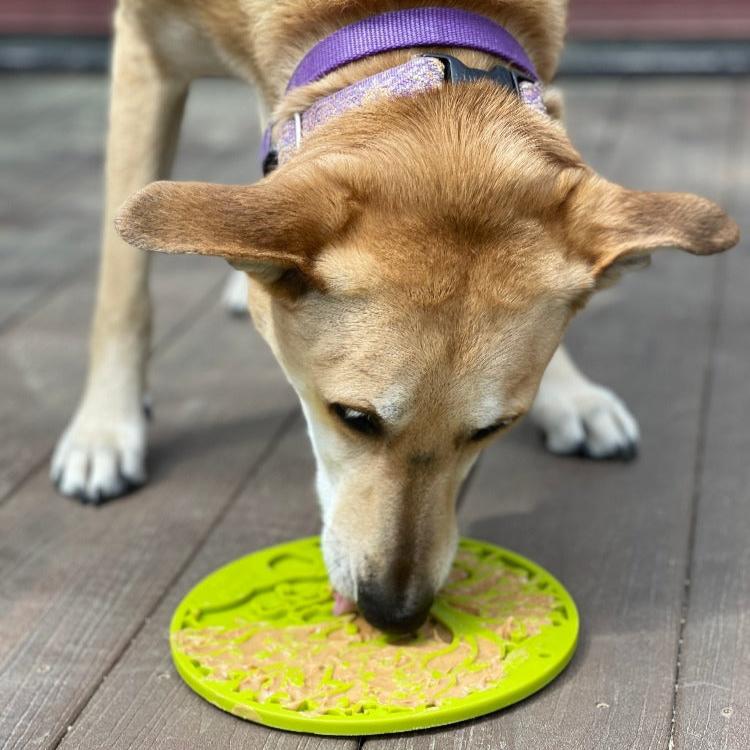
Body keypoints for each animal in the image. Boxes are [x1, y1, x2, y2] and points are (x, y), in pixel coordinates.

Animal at [51, 0, 740, 636]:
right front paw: (104, 430)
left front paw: (569, 393)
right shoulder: (145, 52)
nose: (395, 615)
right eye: (352, 418)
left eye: (494, 429)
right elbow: (123, 285)